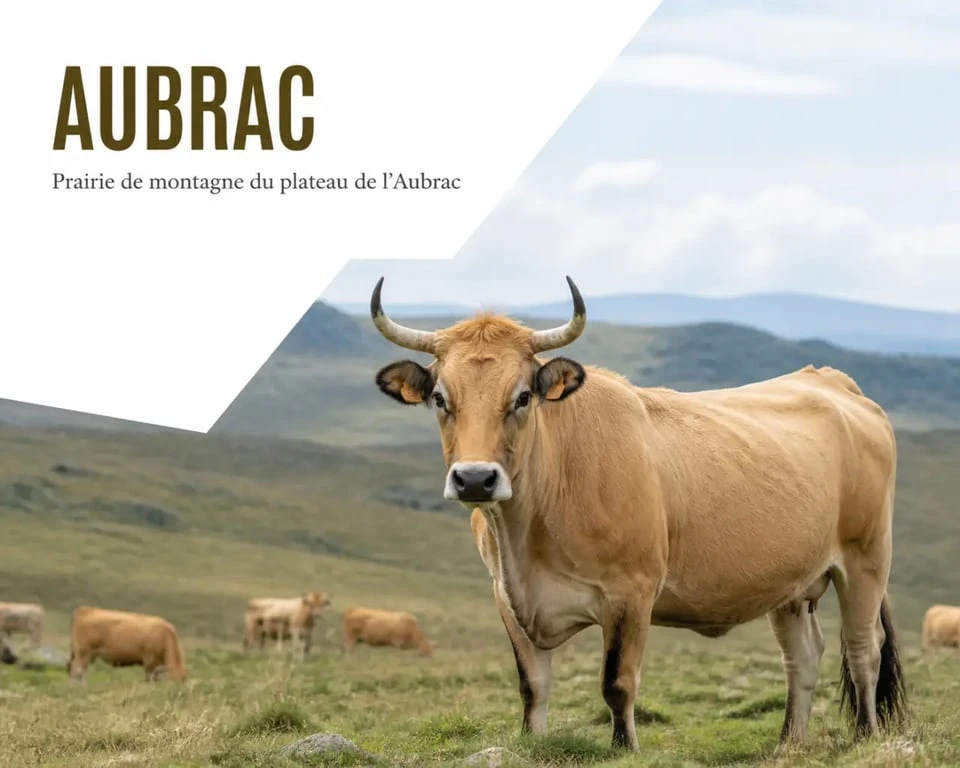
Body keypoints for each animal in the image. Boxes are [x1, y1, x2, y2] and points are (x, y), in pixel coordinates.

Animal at [369, 275, 906, 753]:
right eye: (441, 398)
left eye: (522, 396)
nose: (476, 478)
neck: (527, 533)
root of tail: (831, 381)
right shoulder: (507, 597)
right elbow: (532, 686)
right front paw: (532, 743)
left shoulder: (631, 592)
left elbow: (617, 683)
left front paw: (624, 747)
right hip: (793, 585)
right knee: (803, 657)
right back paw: (788, 743)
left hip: (865, 560)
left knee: (864, 648)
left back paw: (864, 736)